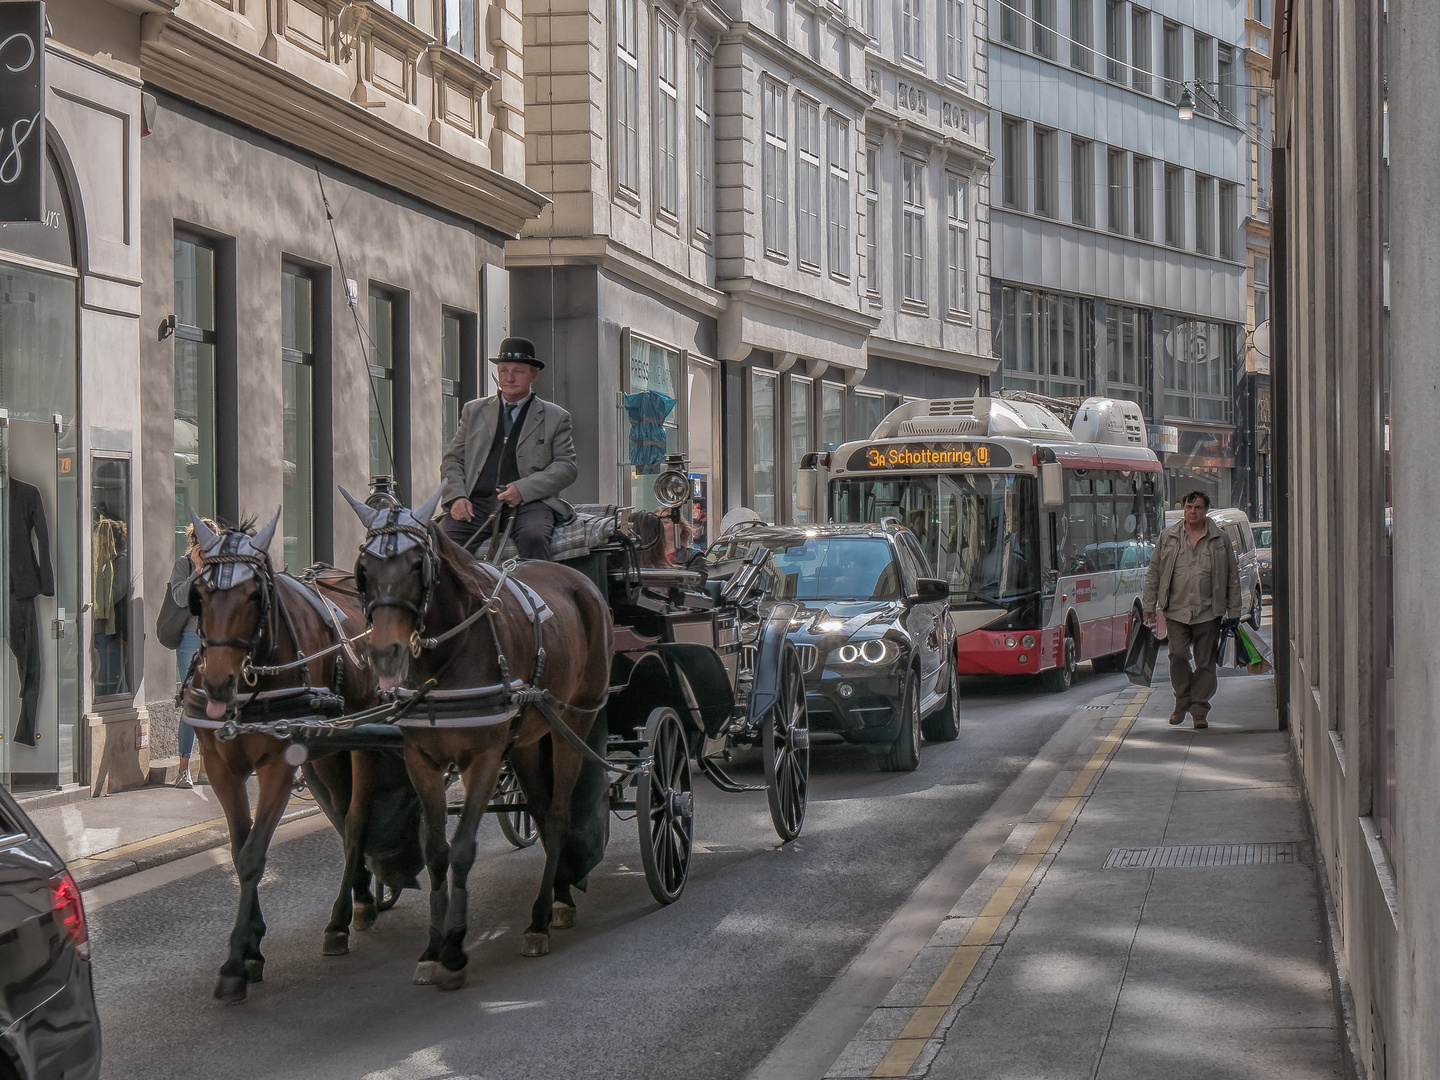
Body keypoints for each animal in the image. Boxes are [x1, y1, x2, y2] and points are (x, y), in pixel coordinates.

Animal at [181, 512, 420, 1008]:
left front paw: (237, 963)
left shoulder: (279, 763)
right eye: (201, 593)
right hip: (327, 753)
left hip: (361, 745)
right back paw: (363, 898)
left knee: (356, 820)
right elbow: (238, 850)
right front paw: (252, 945)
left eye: (255, 595)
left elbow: (254, 856)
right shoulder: (220, 768)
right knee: (344, 815)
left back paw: (342, 918)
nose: (217, 684)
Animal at [348, 489, 619, 990]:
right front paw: (432, 948)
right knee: (541, 812)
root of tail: (582, 583)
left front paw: (454, 950)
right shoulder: (422, 759)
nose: (383, 652)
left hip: (574, 723)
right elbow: (436, 851)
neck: (447, 658)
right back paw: (559, 895)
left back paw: (541, 917)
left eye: (416, 564)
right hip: (530, 741)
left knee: (557, 816)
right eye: (364, 569)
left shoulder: (485, 758)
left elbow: (462, 848)